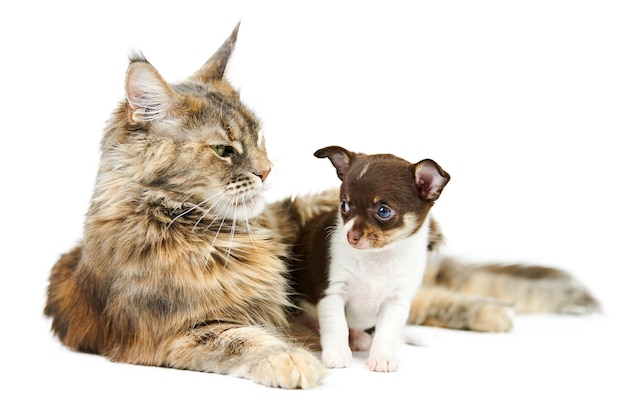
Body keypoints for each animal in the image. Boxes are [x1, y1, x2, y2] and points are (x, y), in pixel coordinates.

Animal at [292, 145, 448, 370]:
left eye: (383, 211)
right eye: (344, 205)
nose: (350, 236)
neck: (377, 258)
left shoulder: (396, 301)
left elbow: (388, 332)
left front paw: (382, 358)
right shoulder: (332, 292)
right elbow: (336, 325)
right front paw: (337, 354)